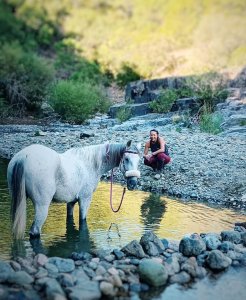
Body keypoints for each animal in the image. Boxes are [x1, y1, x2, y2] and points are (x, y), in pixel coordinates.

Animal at [7, 141, 140, 239]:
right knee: (35, 231)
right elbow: (82, 221)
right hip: (42, 206)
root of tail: (23, 157)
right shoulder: (85, 199)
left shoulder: (71, 202)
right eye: (126, 159)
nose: (133, 184)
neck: (91, 165)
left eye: (139, 160)